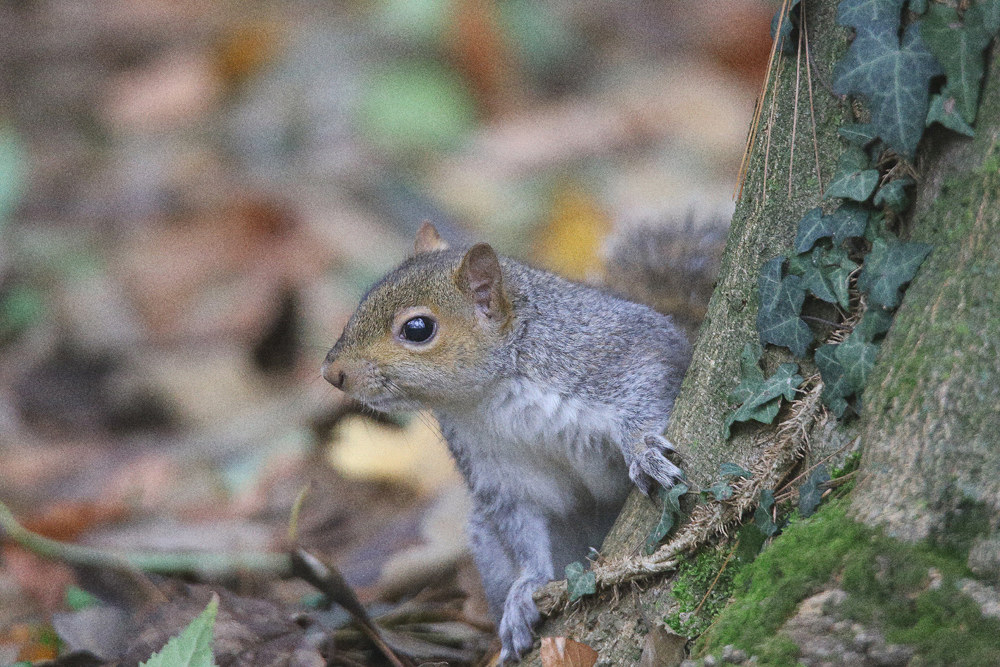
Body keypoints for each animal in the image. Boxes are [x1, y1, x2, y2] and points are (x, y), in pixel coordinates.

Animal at [322, 222, 694, 662]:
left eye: (417, 329)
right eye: (364, 299)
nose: (331, 372)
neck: (493, 392)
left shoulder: (615, 353)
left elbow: (648, 387)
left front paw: (643, 450)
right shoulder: (499, 469)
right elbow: (522, 524)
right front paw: (527, 587)